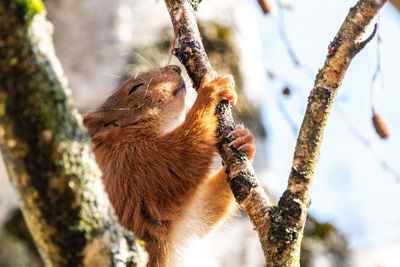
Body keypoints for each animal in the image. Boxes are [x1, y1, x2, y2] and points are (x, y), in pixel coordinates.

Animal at [83, 65, 256, 267]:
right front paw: (211, 90)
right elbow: (187, 153)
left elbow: (206, 206)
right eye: (135, 88)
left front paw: (245, 141)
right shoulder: (138, 166)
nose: (175, 67)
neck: (124, 140)